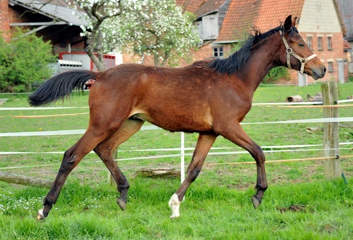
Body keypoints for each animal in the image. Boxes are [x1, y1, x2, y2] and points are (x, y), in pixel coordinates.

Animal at [29, 15, 324, 220]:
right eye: (300, 43)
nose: (321, 70)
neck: (234, 78)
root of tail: (100, 75)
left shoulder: (210, 132)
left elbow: (194, 169)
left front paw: (174, 206)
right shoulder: (229, 127)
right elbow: (259, 152)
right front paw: (258, 195)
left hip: (131, 123)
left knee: (104, 150)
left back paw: (123, 194)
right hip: (103, 124)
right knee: (72, 155)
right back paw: (45, 209)